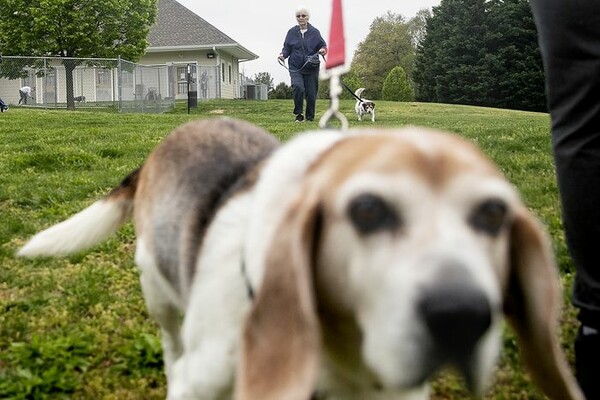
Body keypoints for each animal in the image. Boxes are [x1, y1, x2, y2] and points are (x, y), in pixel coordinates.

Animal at [17, 117, 580, 398]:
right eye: (367, 209)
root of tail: (175, 133)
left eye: (493, 213)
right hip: (159, 292)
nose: (462, 315)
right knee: (172, 344)